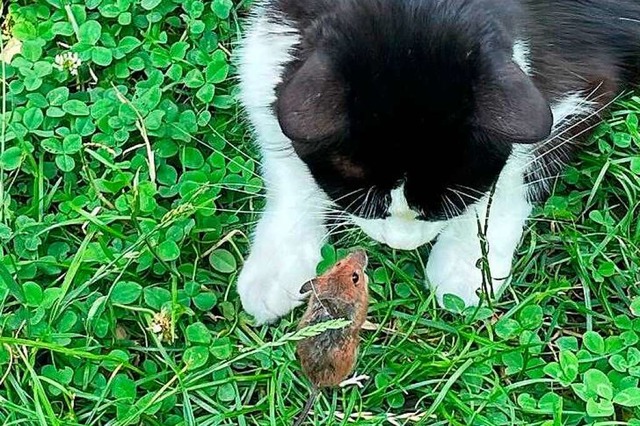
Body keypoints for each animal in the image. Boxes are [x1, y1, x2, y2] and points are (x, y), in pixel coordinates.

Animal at [234, 0, 640, 324]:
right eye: (362, 201)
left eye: (445, 207)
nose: (400, 244)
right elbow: (267, 100)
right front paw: (277, 264)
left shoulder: (585, 62)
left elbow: (526, 160)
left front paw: (468, 264)